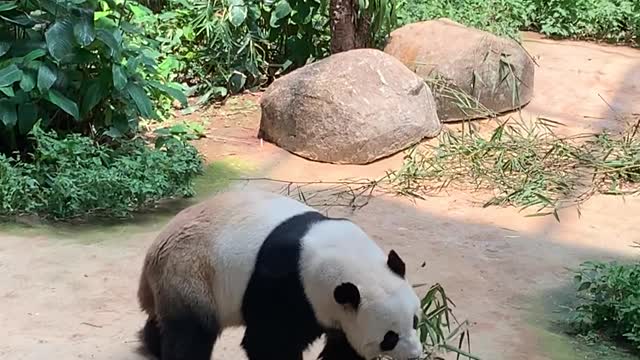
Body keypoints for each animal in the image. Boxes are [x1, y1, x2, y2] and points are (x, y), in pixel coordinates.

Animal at [136, 188, 424, 360]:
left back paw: (151, 344)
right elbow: (269, 341)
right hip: (190, 274)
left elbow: (344, 344)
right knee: (191, 332)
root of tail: (151, 255)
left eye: (415, 321)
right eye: (389, 338)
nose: (414, 354)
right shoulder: (287, 285)